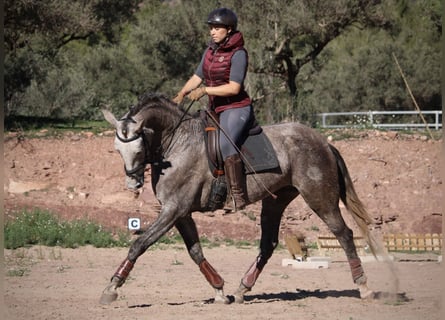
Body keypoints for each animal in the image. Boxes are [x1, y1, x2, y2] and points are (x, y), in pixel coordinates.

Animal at [99, 91, 378, 304]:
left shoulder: (173, 210)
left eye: (138, 149)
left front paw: (112, 287)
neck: (177, 142)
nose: (132, 183)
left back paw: (364, 286)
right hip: (275, 200)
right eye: (117, 149)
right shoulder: (181, 213)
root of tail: (323, 142)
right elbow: (195, 251)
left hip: (319, 197)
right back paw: (242, 288)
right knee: (268, 244)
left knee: (344, 234)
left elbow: (140, 244)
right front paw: (219, 289)